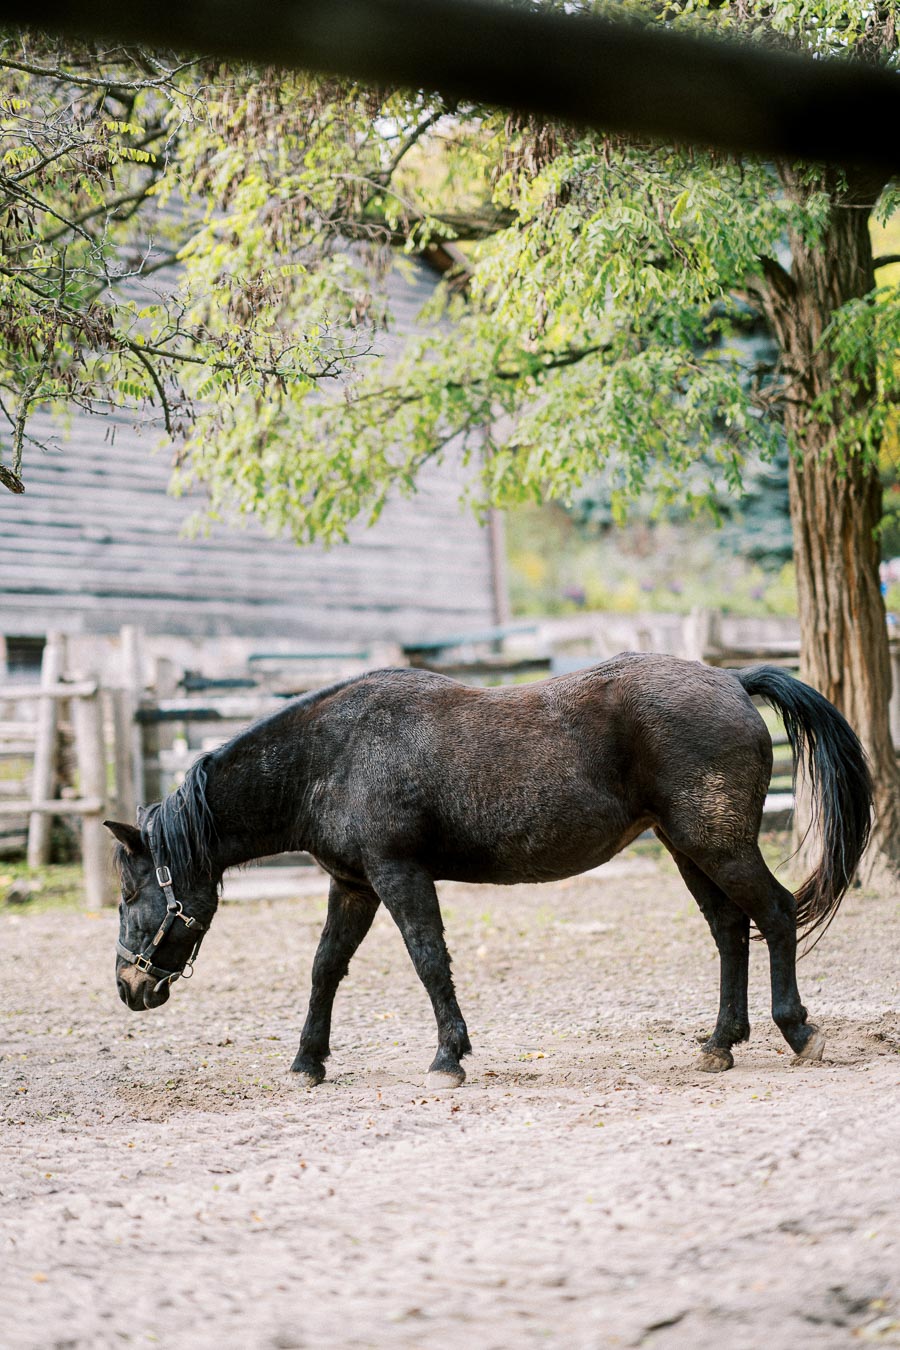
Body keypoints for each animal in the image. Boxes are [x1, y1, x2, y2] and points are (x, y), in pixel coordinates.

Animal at [107, 653, 872, 1087]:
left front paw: (449, 1057)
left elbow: (429, 960)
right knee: (729, 931)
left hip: (718, 845)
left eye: (131, 893)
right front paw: (307, 1063)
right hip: (691, 850)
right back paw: (720, 1044)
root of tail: (732, 679)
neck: (333, 755)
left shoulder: (399, 875)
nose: (128, 988)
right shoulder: (353, 885)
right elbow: (326, 968)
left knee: (774, 914)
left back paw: (798, 1031)